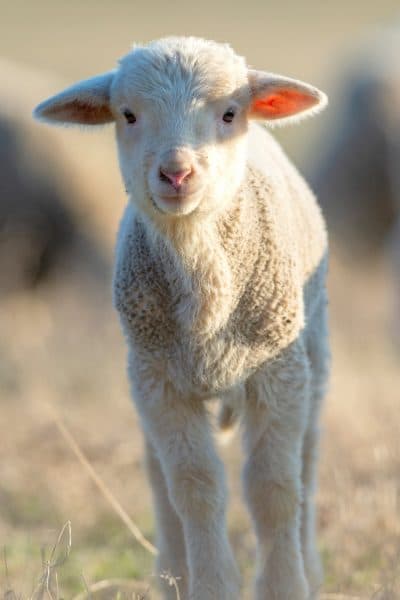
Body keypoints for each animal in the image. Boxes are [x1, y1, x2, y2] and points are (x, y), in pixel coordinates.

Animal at [33, 38, 328, 600]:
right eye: (127, 115)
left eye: (230, 113)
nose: (176, 174)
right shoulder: (160, 381)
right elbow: (193, 487)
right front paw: (211, 583)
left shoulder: (277, 371)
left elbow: (274, 488)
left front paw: (285, 584)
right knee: (158, 475)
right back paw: (172, 574)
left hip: (313, 349)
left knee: (306, 458)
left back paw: (308, 561)